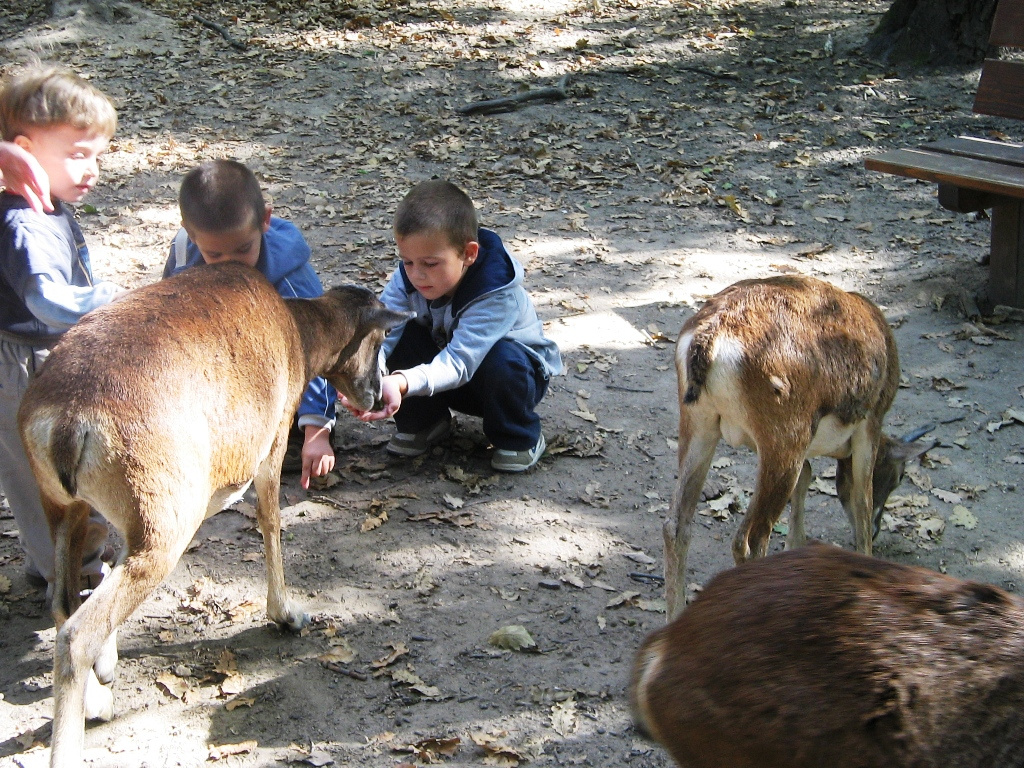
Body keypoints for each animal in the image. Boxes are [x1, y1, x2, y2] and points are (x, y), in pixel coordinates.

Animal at [17, 264, 407, 768]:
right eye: (380, 338)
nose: (378, 394)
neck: (298, 336)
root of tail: (65, 422)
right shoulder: (272, 441)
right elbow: (270, 521)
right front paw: (288, 615)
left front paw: (108, 672)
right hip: (166, 523)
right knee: (76, 634)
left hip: (74, 507)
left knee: (64, 601)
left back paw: (98, 700)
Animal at [663, 276, 937, 618]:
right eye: (898, 477)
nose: (878, 529)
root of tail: (710, 336)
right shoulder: (869, 424)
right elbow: (861, 499)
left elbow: (807, 478)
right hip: (784, 439)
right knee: (750, 540)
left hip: (700, 426)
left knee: (676, 525)